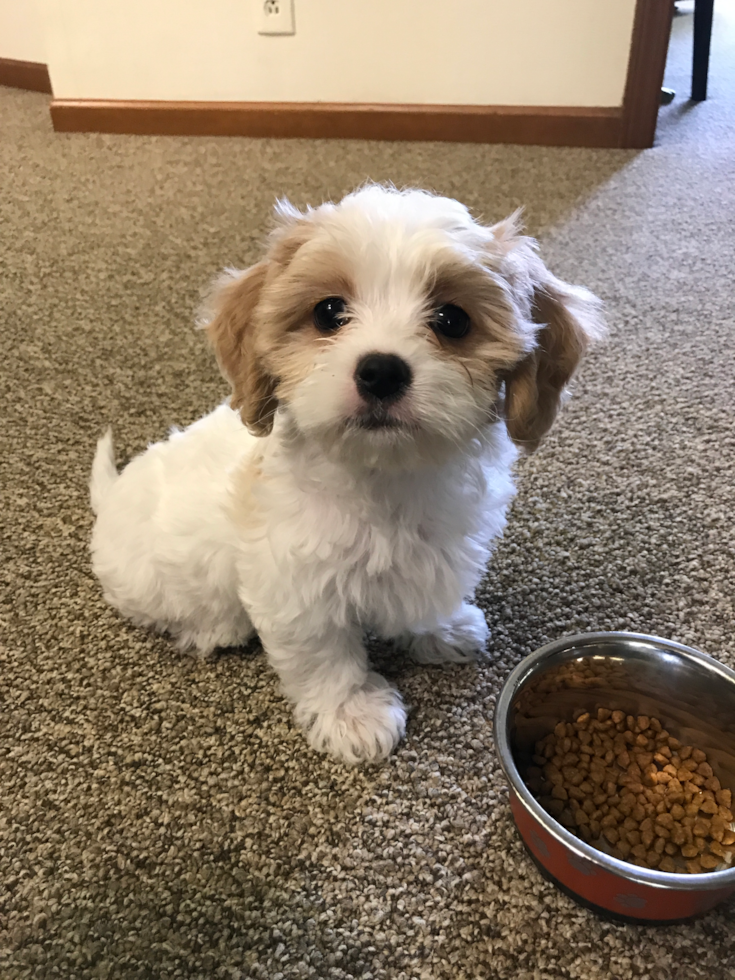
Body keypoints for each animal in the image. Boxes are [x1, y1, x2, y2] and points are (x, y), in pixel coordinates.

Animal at [89, 186, 604, 764]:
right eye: (329, 311)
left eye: (452, 319)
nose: (381, 370)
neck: (383, 475)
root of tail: (112, 496)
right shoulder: (296, 586)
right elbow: (325, 656)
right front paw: (352, 714)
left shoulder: (439, 550)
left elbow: (427, 596)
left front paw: (442, 629)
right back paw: (216, 628)